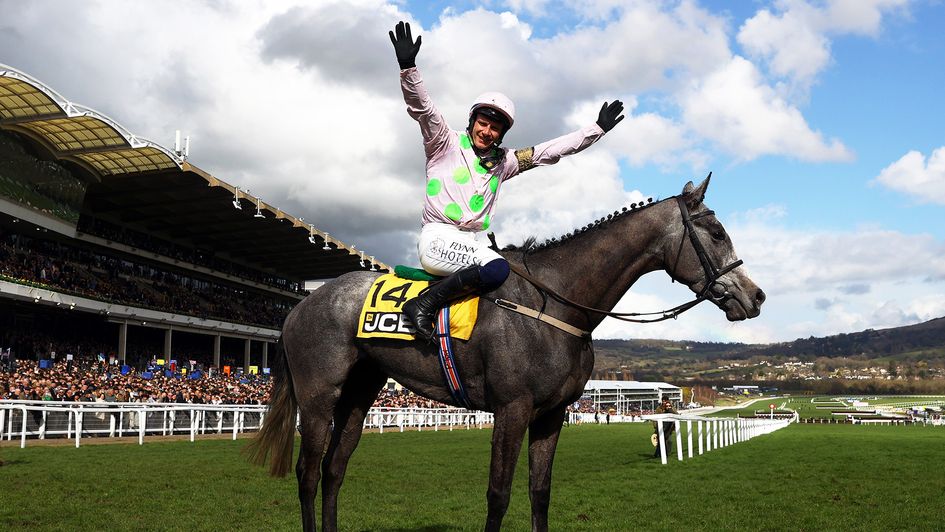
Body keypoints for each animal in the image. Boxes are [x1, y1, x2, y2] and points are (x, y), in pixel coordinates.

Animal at [247, 177, 764, 528]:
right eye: (718, 232)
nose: (755, 295)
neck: (557, 301)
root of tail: (300, 305)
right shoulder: (511, 409)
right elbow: (499, 494)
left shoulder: (552, 414)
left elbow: (540, 492)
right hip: (319, 396)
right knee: (308, 473)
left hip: (359, 393)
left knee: (334, 471)